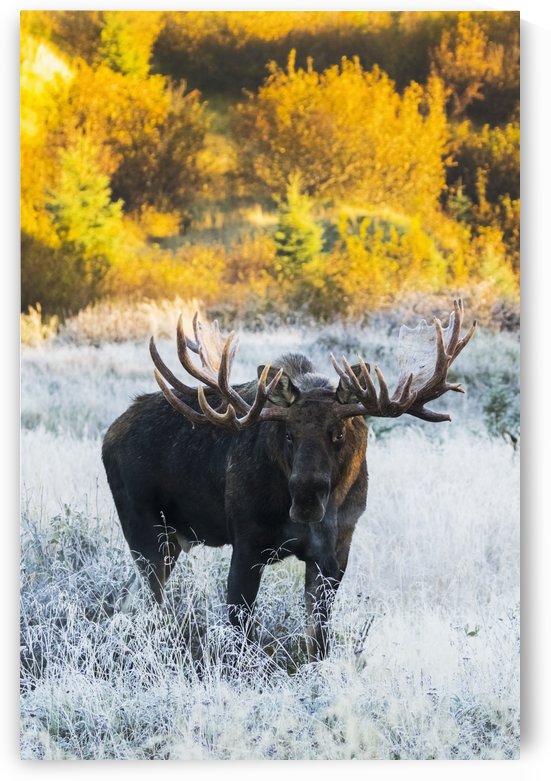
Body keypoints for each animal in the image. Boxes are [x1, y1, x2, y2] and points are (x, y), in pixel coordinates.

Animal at [102, 300, 476, 660]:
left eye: (338, 433)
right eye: (288, 434)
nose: (307, 499)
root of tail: (110, 433)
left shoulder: (335, 551)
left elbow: (318, 641)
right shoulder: (247, 543)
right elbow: (241, 633)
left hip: (172, 539)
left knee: (130, 598)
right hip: (145, 528)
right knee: (153, 601)